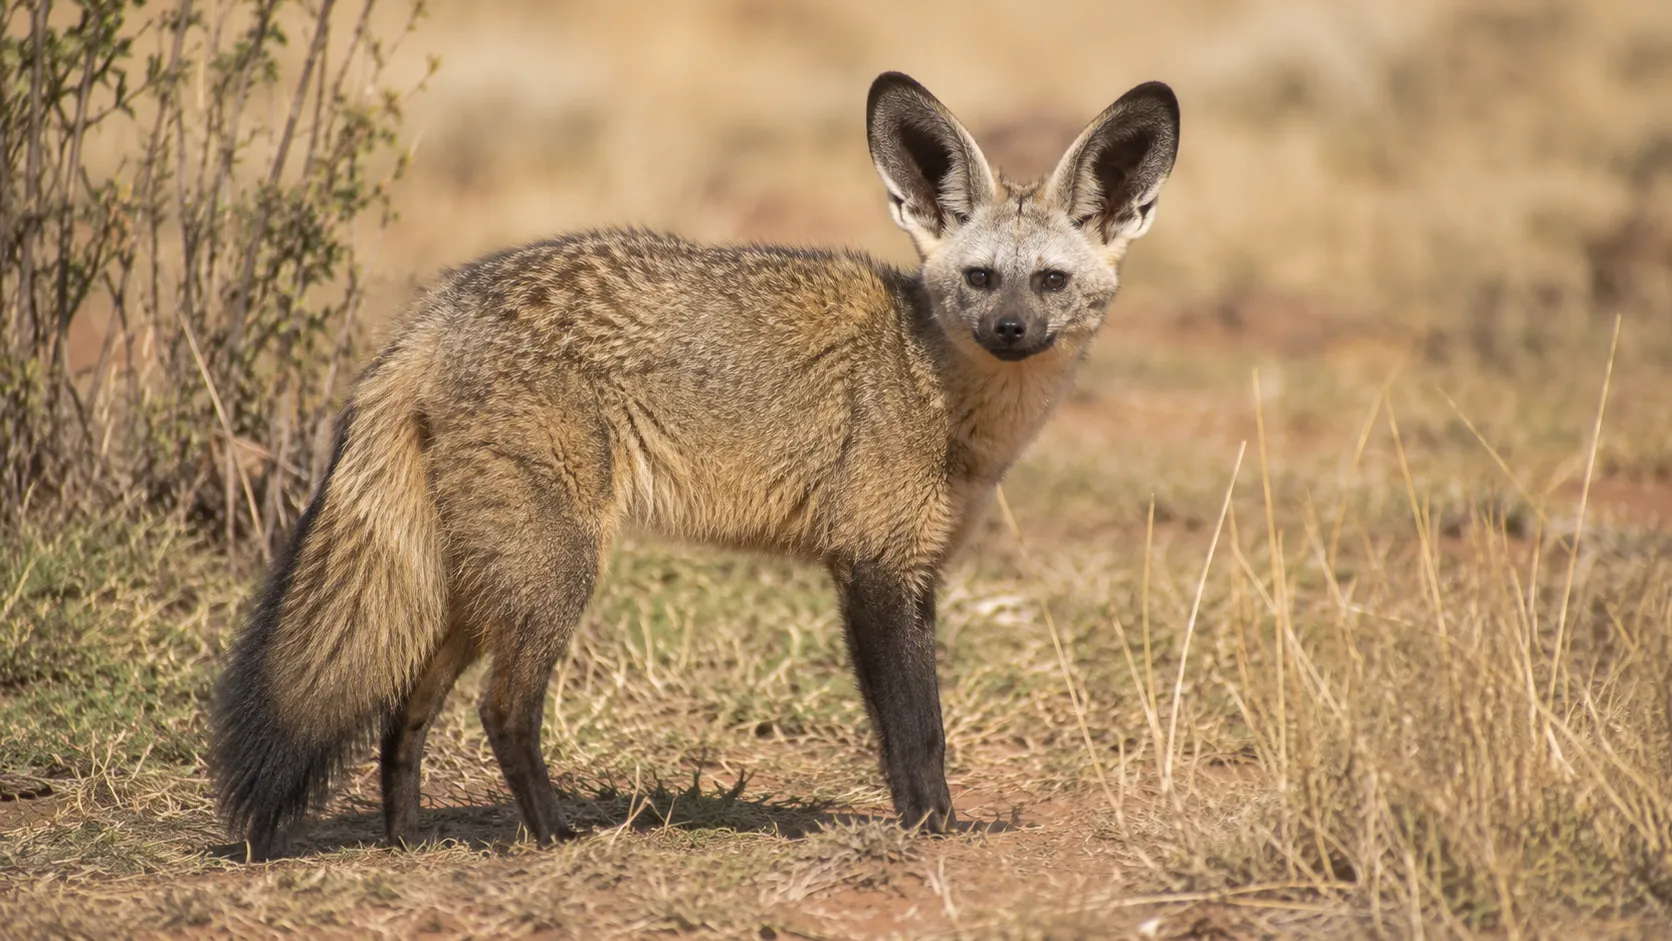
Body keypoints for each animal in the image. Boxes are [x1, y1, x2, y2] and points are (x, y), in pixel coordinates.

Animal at [211, 71, 1179, 859]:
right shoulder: (872, 568)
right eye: (979, 278)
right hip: (553, 572)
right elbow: (915, 732)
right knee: (501, 710)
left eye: (1049, 281)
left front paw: (928, 822)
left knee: (405, 712)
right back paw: (555, 835)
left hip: (476, 586)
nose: (1011, 331)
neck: (933, 383)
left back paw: (409, 837)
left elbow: (911, 727)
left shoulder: (917, 573)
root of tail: (440, 304)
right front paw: (932, 830)